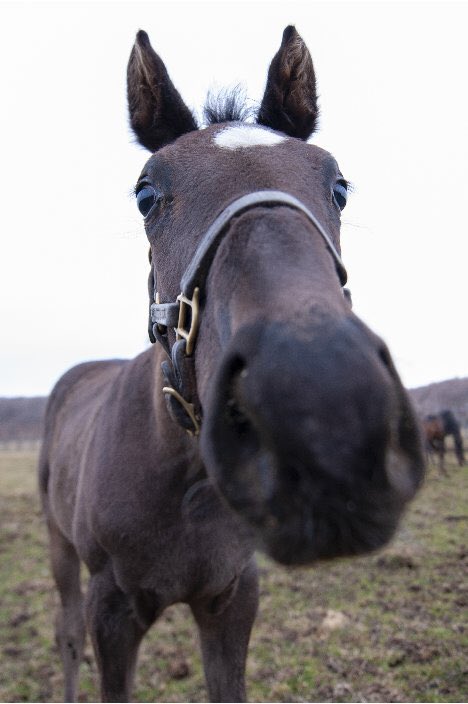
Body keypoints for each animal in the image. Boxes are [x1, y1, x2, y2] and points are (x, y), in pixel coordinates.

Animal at [38, 25, 425, 703]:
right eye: (146, 195)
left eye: (338, 186)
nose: (327, 418)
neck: (186, 482)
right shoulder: (111, 609)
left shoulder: (233, 597)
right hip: (60, 549)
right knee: (65, 635)